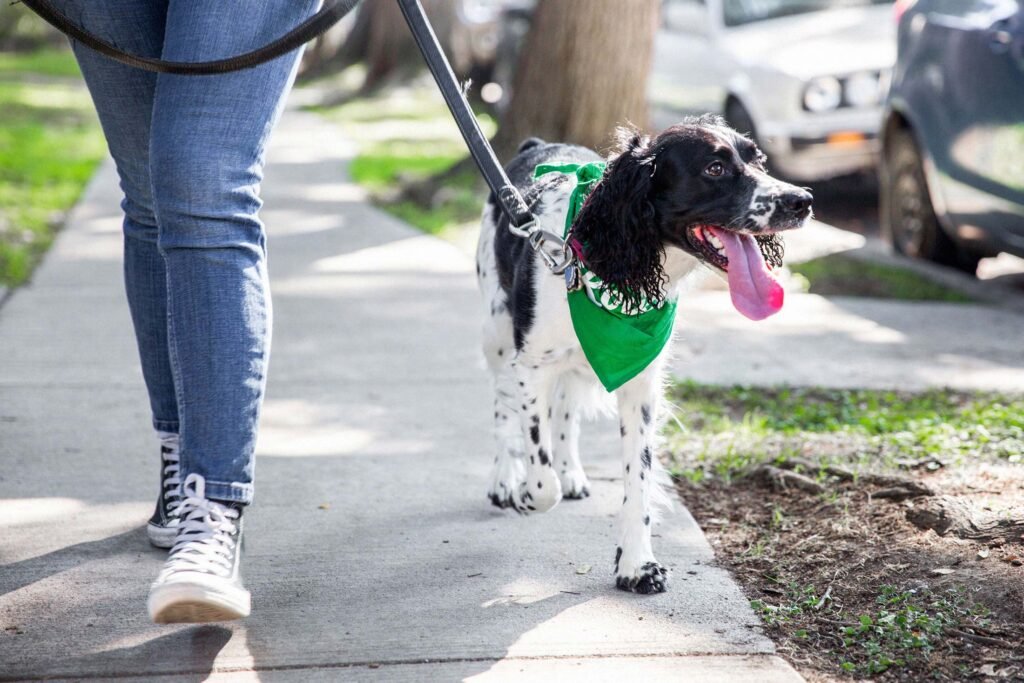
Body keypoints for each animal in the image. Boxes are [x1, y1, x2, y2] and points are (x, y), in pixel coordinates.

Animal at [475, 116, 811, 593]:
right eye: (714, 169)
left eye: (758, 159)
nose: (802, 201)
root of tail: (536, 145)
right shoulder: (533, 366)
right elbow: (541, 481)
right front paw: (524, 490)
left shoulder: (640, 382)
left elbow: (638, 479)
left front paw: (636, 565)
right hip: (498, 333)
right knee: (503, 406)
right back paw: (504, 478)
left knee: (566, 410)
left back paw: (572, 473)